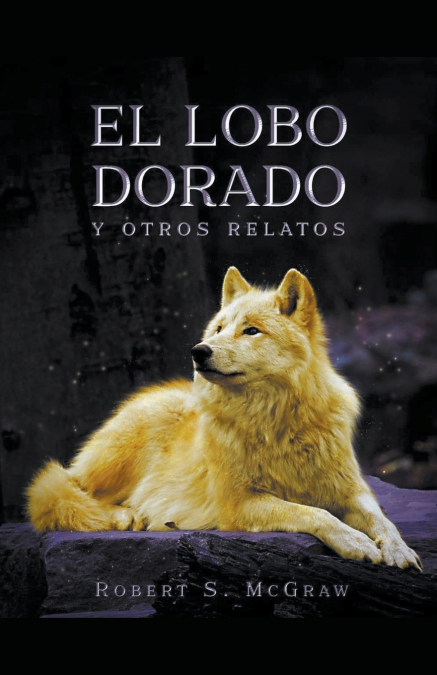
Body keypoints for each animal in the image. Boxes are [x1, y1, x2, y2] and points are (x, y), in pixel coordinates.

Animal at [27, 267, 421, 570]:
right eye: (218, 328)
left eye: (251, 330)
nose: (199, 351)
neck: (276, 423)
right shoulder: (240, 504)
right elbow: (315, 514)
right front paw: (358, 543)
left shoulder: (351, 490)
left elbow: (382, 519)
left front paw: (399, 551)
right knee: (62, 491)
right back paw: (126, 516)